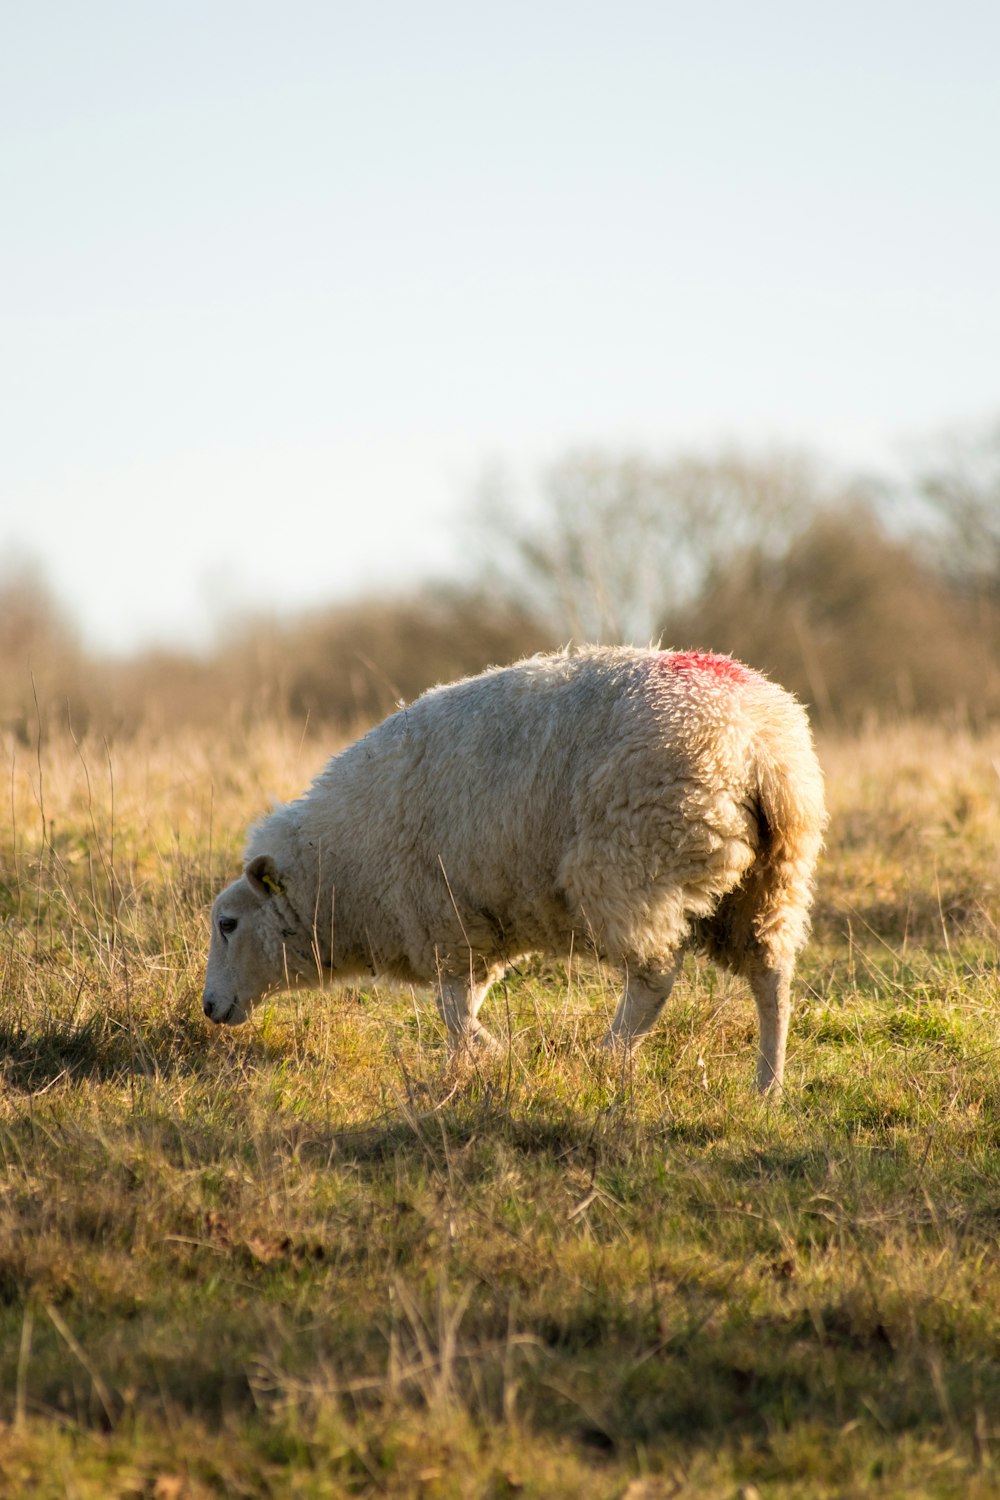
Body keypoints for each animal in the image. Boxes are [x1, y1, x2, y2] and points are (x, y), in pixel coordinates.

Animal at [199, 645, 827, 1092]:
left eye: (228, 924)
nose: (208, 1008)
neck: (338, 870)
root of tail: (760, 746)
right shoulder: (474, 932)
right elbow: (461, 1008)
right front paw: (462, 1071)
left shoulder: (443, 921)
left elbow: (453, 1012)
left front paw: (494, 1056)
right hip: (773, 879)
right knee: (772, 978)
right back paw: (767, 1086)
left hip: (633, 860)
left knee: (654, 980)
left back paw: (607, 1056)